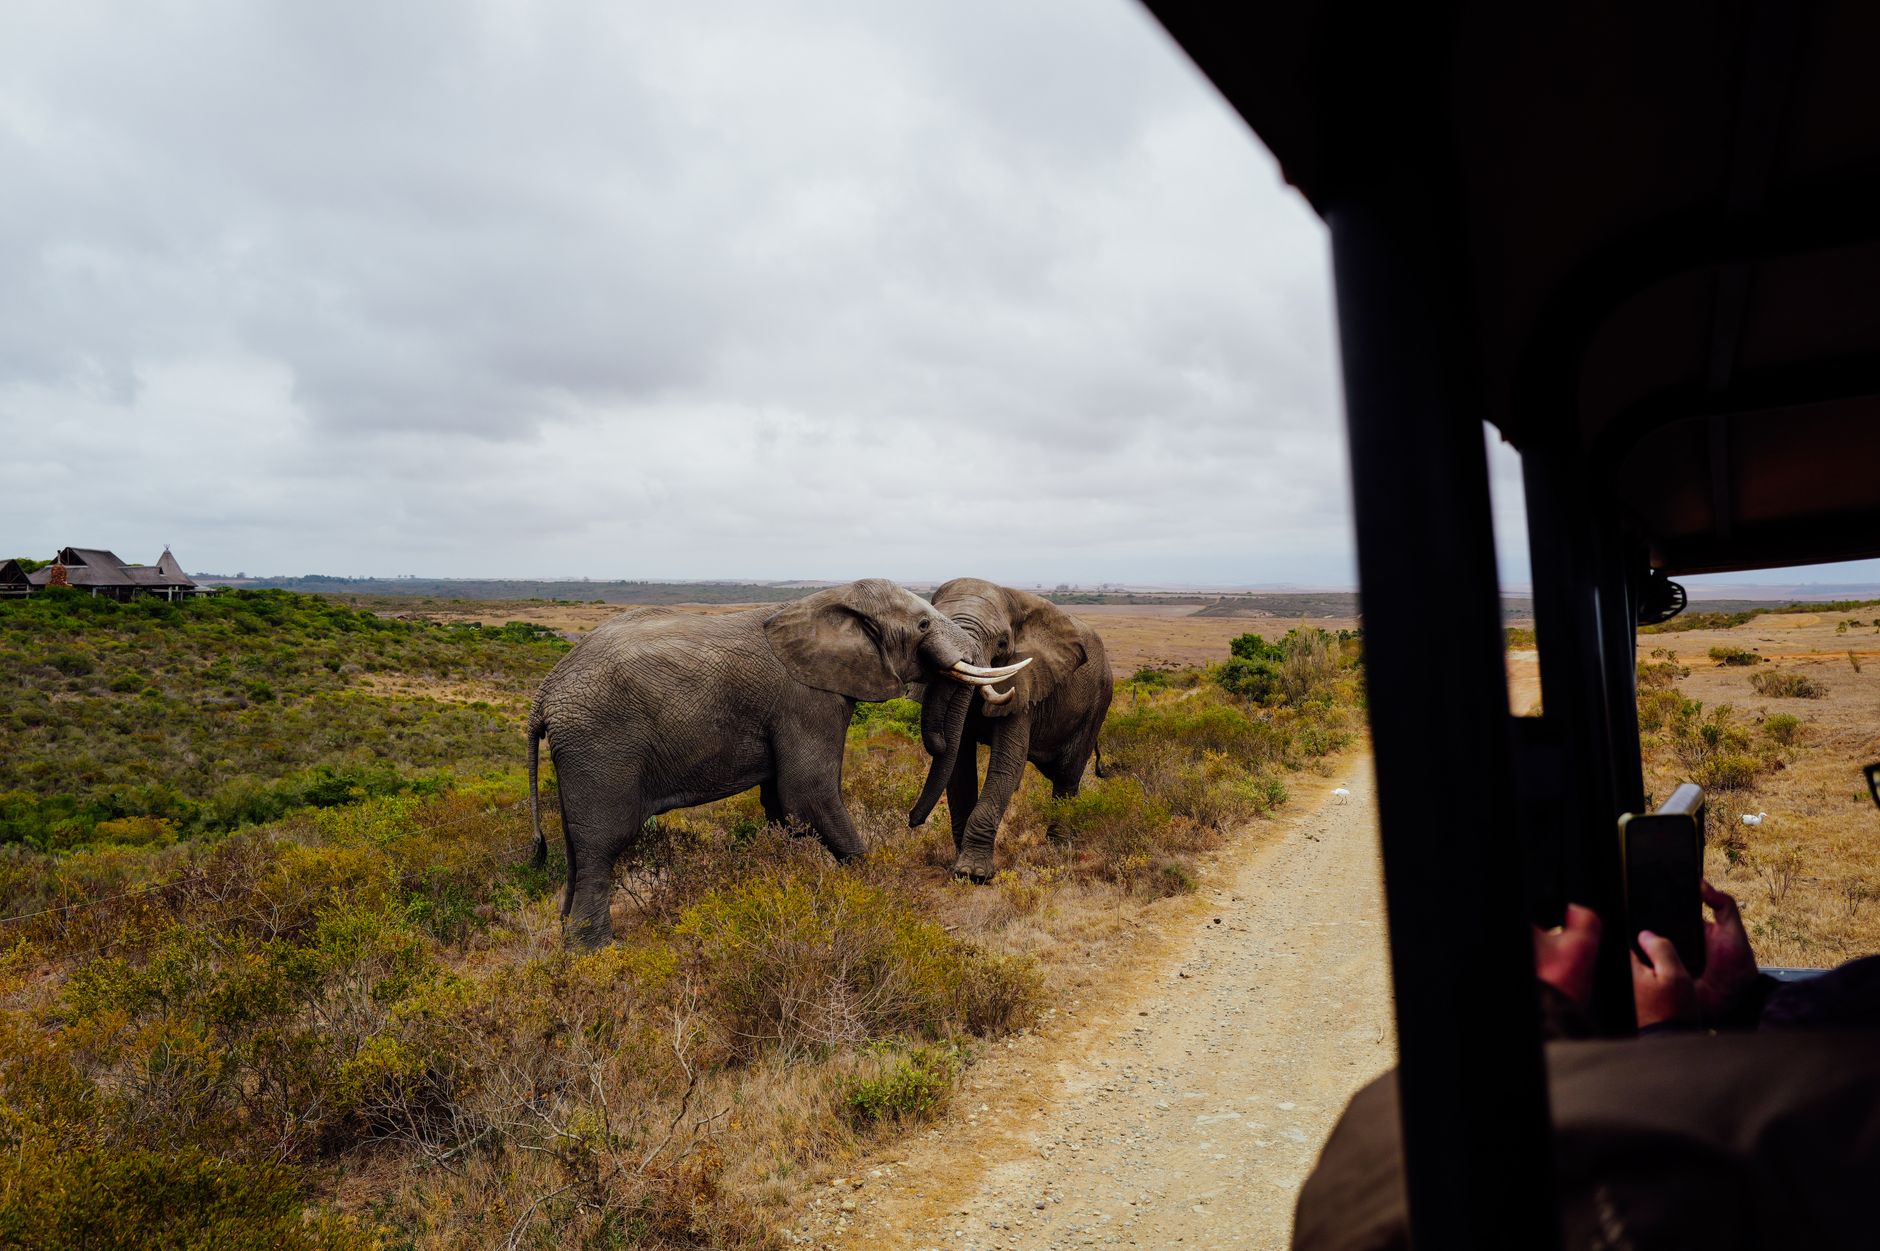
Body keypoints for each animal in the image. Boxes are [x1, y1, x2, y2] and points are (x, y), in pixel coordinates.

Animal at [526, 579, 1029, 947]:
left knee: (576, 849)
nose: (911, 821)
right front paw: (875, 889)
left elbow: (782, 807)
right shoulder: (806, 699)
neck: (826, 602)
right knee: (602, 846)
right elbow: (807, 796)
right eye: (923, 623)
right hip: (600, 747)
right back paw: (596, 953)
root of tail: (544, 695)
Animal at [907, 578, 1112, 881]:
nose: (912, 820)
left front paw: (974, 874)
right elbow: (958, 764)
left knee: (1067, 773)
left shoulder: (1026, 682)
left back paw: (1059, 849)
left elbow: (1006, 763)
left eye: (1002, 642)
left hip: (1097, 703)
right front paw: (962, 869)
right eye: (927, 628)